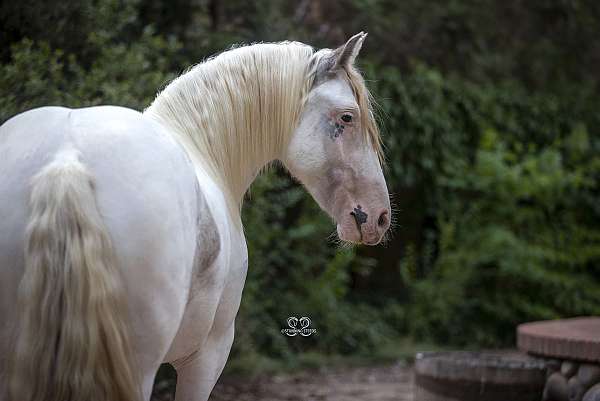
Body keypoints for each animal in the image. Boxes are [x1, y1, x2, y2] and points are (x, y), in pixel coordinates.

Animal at [0, 32, 390, 400]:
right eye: (347, 117)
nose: (379, 217)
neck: (203, 151)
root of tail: (66, 160)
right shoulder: (208, 354)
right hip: (138, 368)